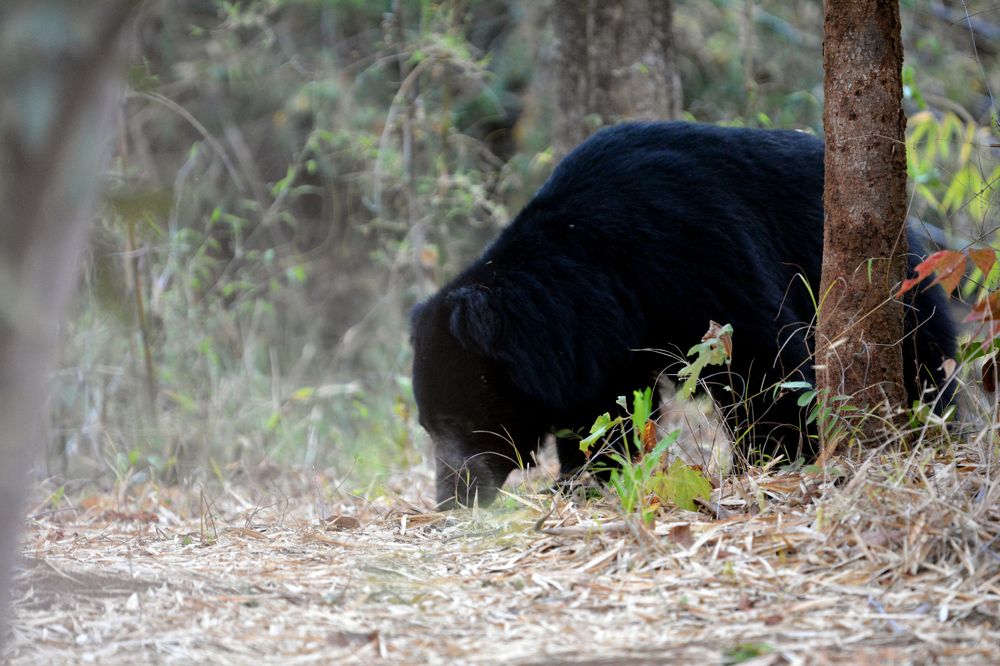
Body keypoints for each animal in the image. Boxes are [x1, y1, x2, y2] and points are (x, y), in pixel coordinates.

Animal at [410, 121, 957, 509]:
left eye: (456, 418)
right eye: (427, 425)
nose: (450, 498)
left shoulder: (690, 247)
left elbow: (760, 357)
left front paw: (772, 460)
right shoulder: (604, 340)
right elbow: (605, 413)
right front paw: (581, 480)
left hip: (896, 285)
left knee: (923, 361)